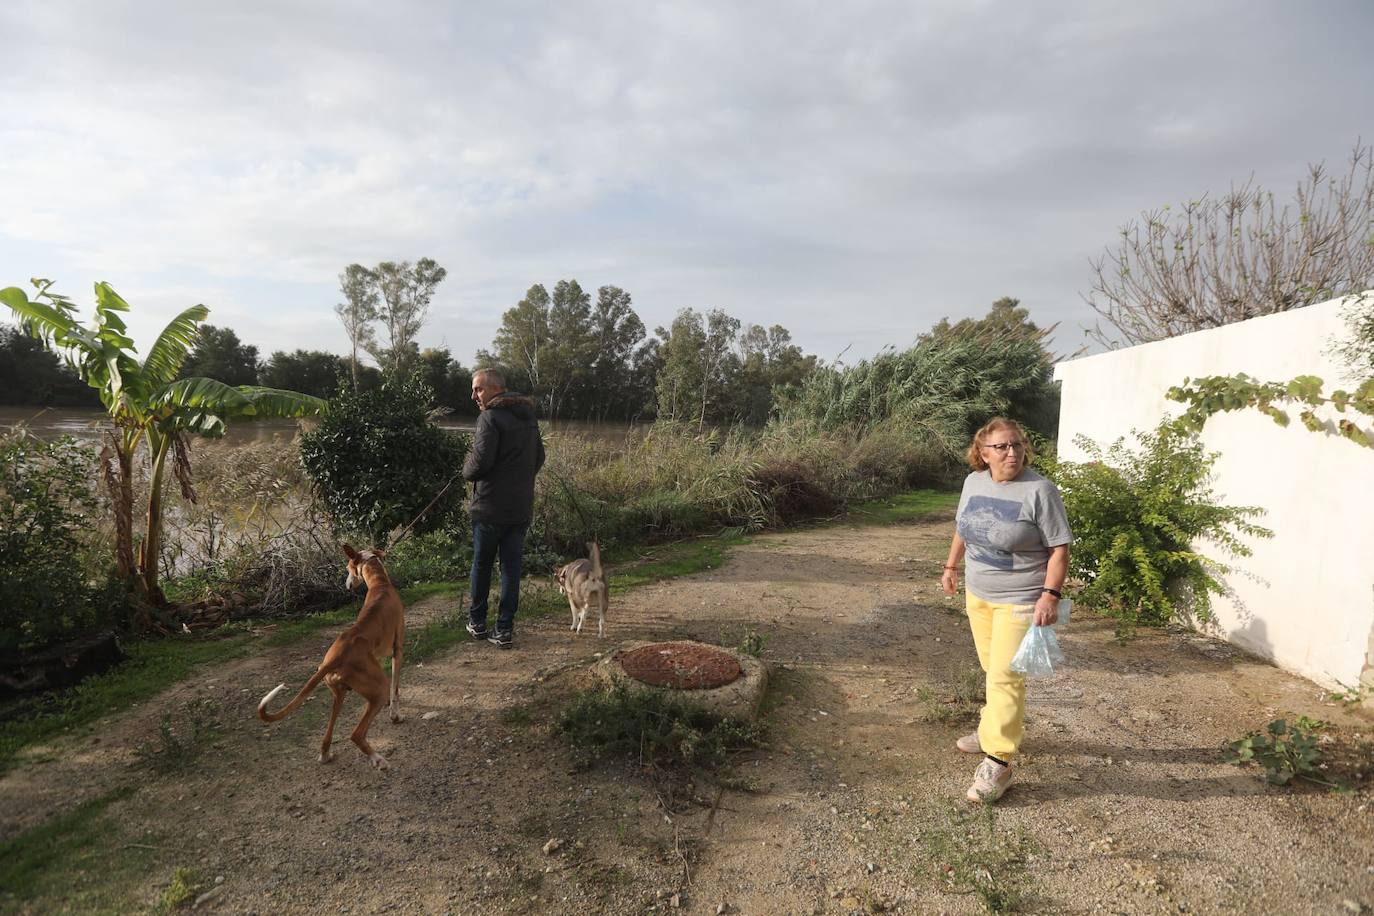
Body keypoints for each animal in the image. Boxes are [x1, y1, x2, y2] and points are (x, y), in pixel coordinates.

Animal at [258, 541, 403, 769]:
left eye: (348, 569)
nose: (347, 585)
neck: (379, 584)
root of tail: (333, 659)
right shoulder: (398, 650)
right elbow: (395, 689)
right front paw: (395, 715)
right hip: (376, 689)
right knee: (356, 734)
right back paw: (377, 759)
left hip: (339, 693)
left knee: (328, 733)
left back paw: (326, 754)